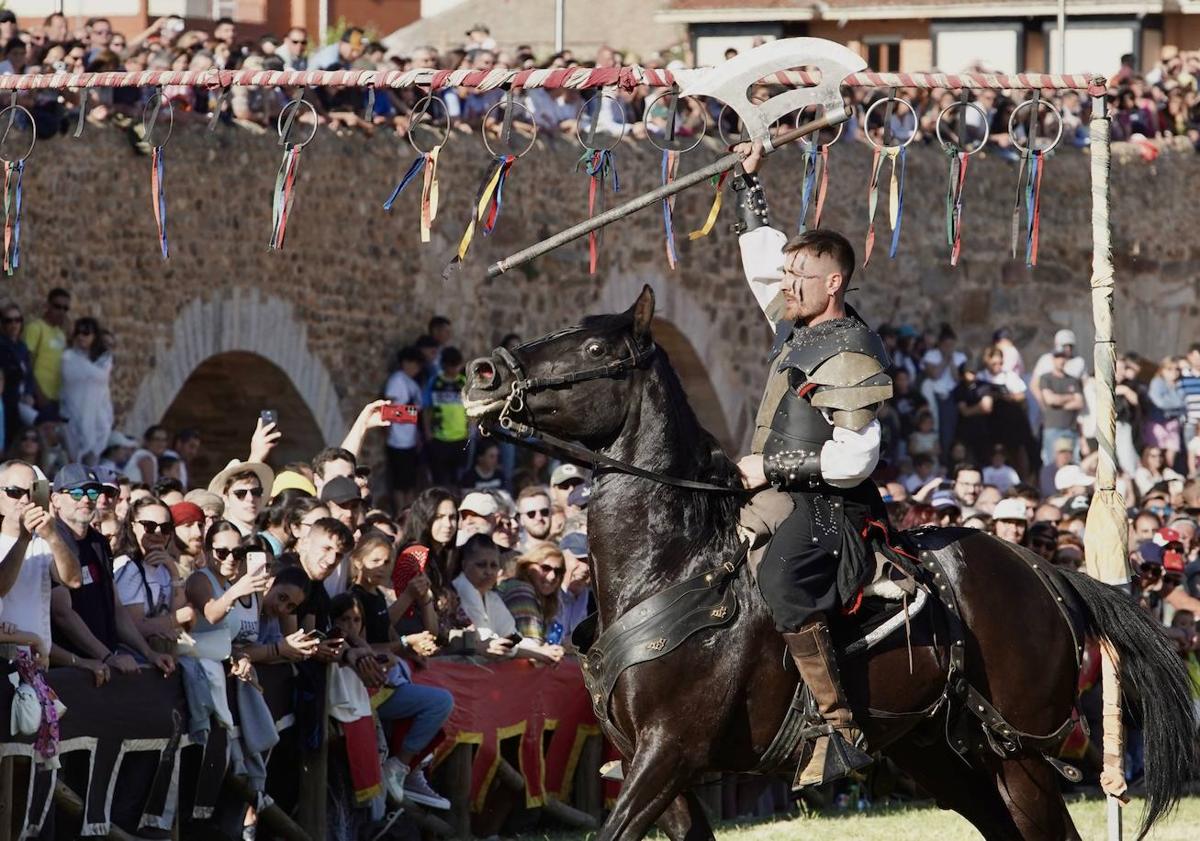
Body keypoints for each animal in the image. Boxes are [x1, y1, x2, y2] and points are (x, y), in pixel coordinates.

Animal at [463, 289, 1195, 839]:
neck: (673, 565)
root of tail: (1044, 571)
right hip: (936, 752)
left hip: (1019, 755)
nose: (483, 374)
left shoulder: (668, 754)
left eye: (594, 349)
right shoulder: (660, 772)